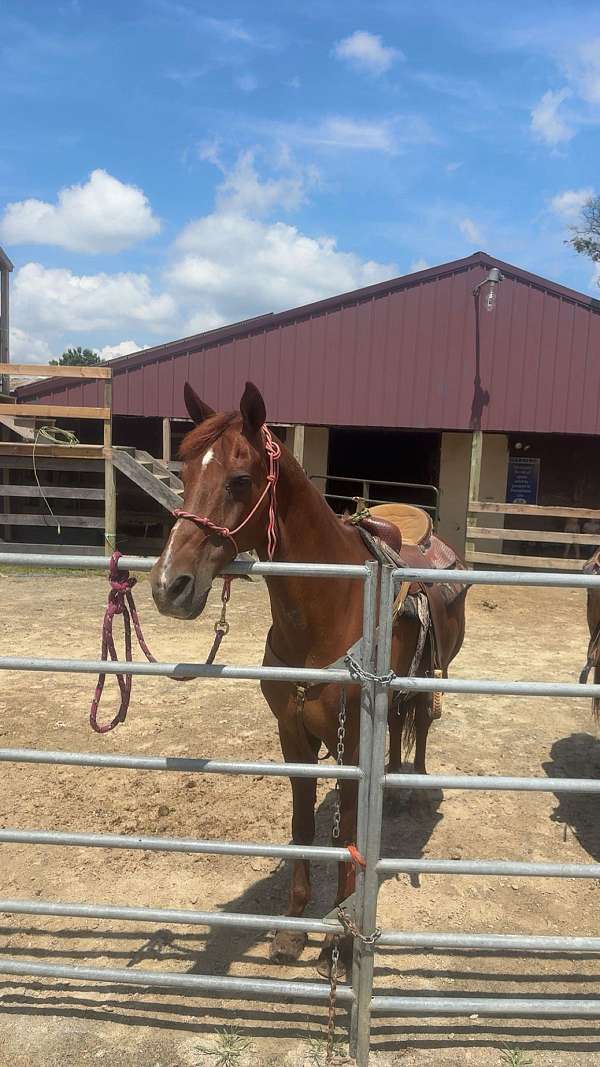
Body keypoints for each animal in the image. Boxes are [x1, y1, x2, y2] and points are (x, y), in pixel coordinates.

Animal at [150, 381, 468, 976]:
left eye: (240, 479)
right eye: (182, 472)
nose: (168, 586)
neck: (329, 606)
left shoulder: (349, 745)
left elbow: (345, 835)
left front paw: (336, 946)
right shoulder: (292, 735)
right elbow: (302, 827)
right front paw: (292, 931)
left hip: (426, 677)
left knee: (419, 723)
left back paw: (412, 790)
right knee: (396, 730)